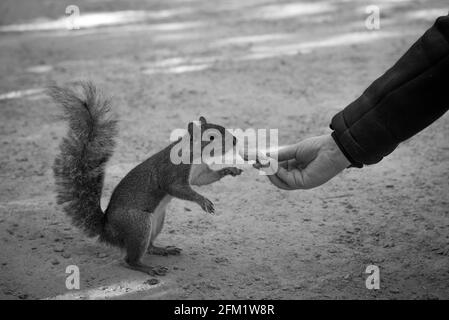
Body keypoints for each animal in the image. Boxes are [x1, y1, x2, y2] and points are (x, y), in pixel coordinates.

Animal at [50, 82, 242, 276]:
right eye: (211, 137)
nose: (235, 140)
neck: (195, 155)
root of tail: (109, 231)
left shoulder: (199, 173)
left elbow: (203, 180)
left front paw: (230, 169)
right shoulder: (172, 172)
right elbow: (177, 188)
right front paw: (202, 200)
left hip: (157, 221)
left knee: (148, 247)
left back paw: (162, 249)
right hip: (138, 225)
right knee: (130, 260)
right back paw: (149, 268)